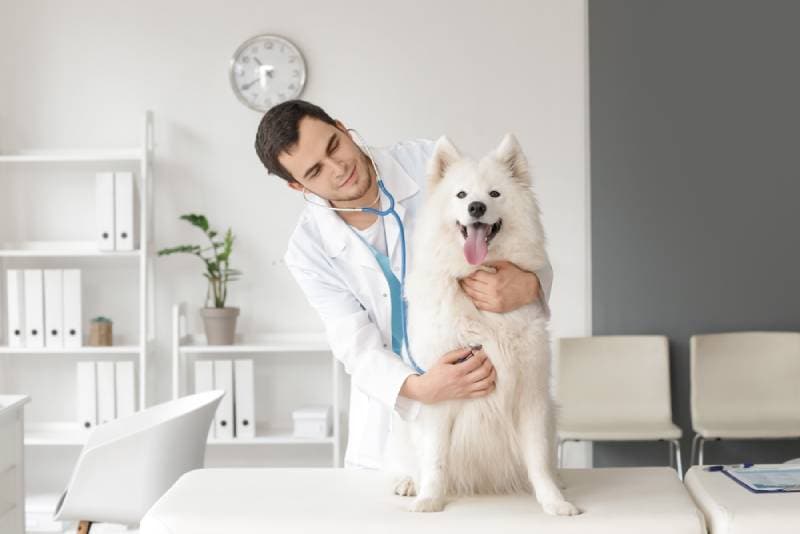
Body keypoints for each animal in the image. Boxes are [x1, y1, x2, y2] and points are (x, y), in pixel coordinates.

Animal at [390, 135, 580, 520]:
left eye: (494, 193)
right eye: (461, 194)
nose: (476, 207)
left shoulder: (532, 397)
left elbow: (538, 459)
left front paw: (553, 501)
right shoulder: (441, 391)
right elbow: (435, 459)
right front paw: (430, 500)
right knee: (412, 460)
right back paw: (410, 483)